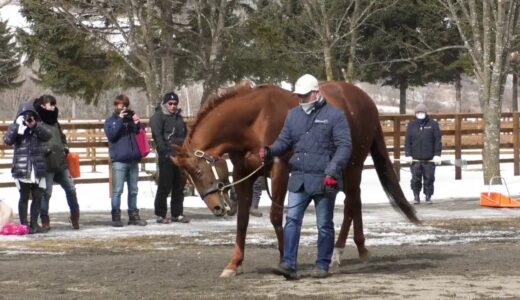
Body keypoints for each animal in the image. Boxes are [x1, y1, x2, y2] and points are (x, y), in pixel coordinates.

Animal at [174, 81, 418, 278]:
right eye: (188, 176)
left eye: (197, 172)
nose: (216, 207)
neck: (255, 119)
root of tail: (367, 101)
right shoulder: (243, 174)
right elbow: (242, 220)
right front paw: (234, 264)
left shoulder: (279, 170)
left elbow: (276, 216)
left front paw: (285, 260)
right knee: (355, 200)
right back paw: (360, 248)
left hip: (353, 164)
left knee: (350, 203)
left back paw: (336, 253)